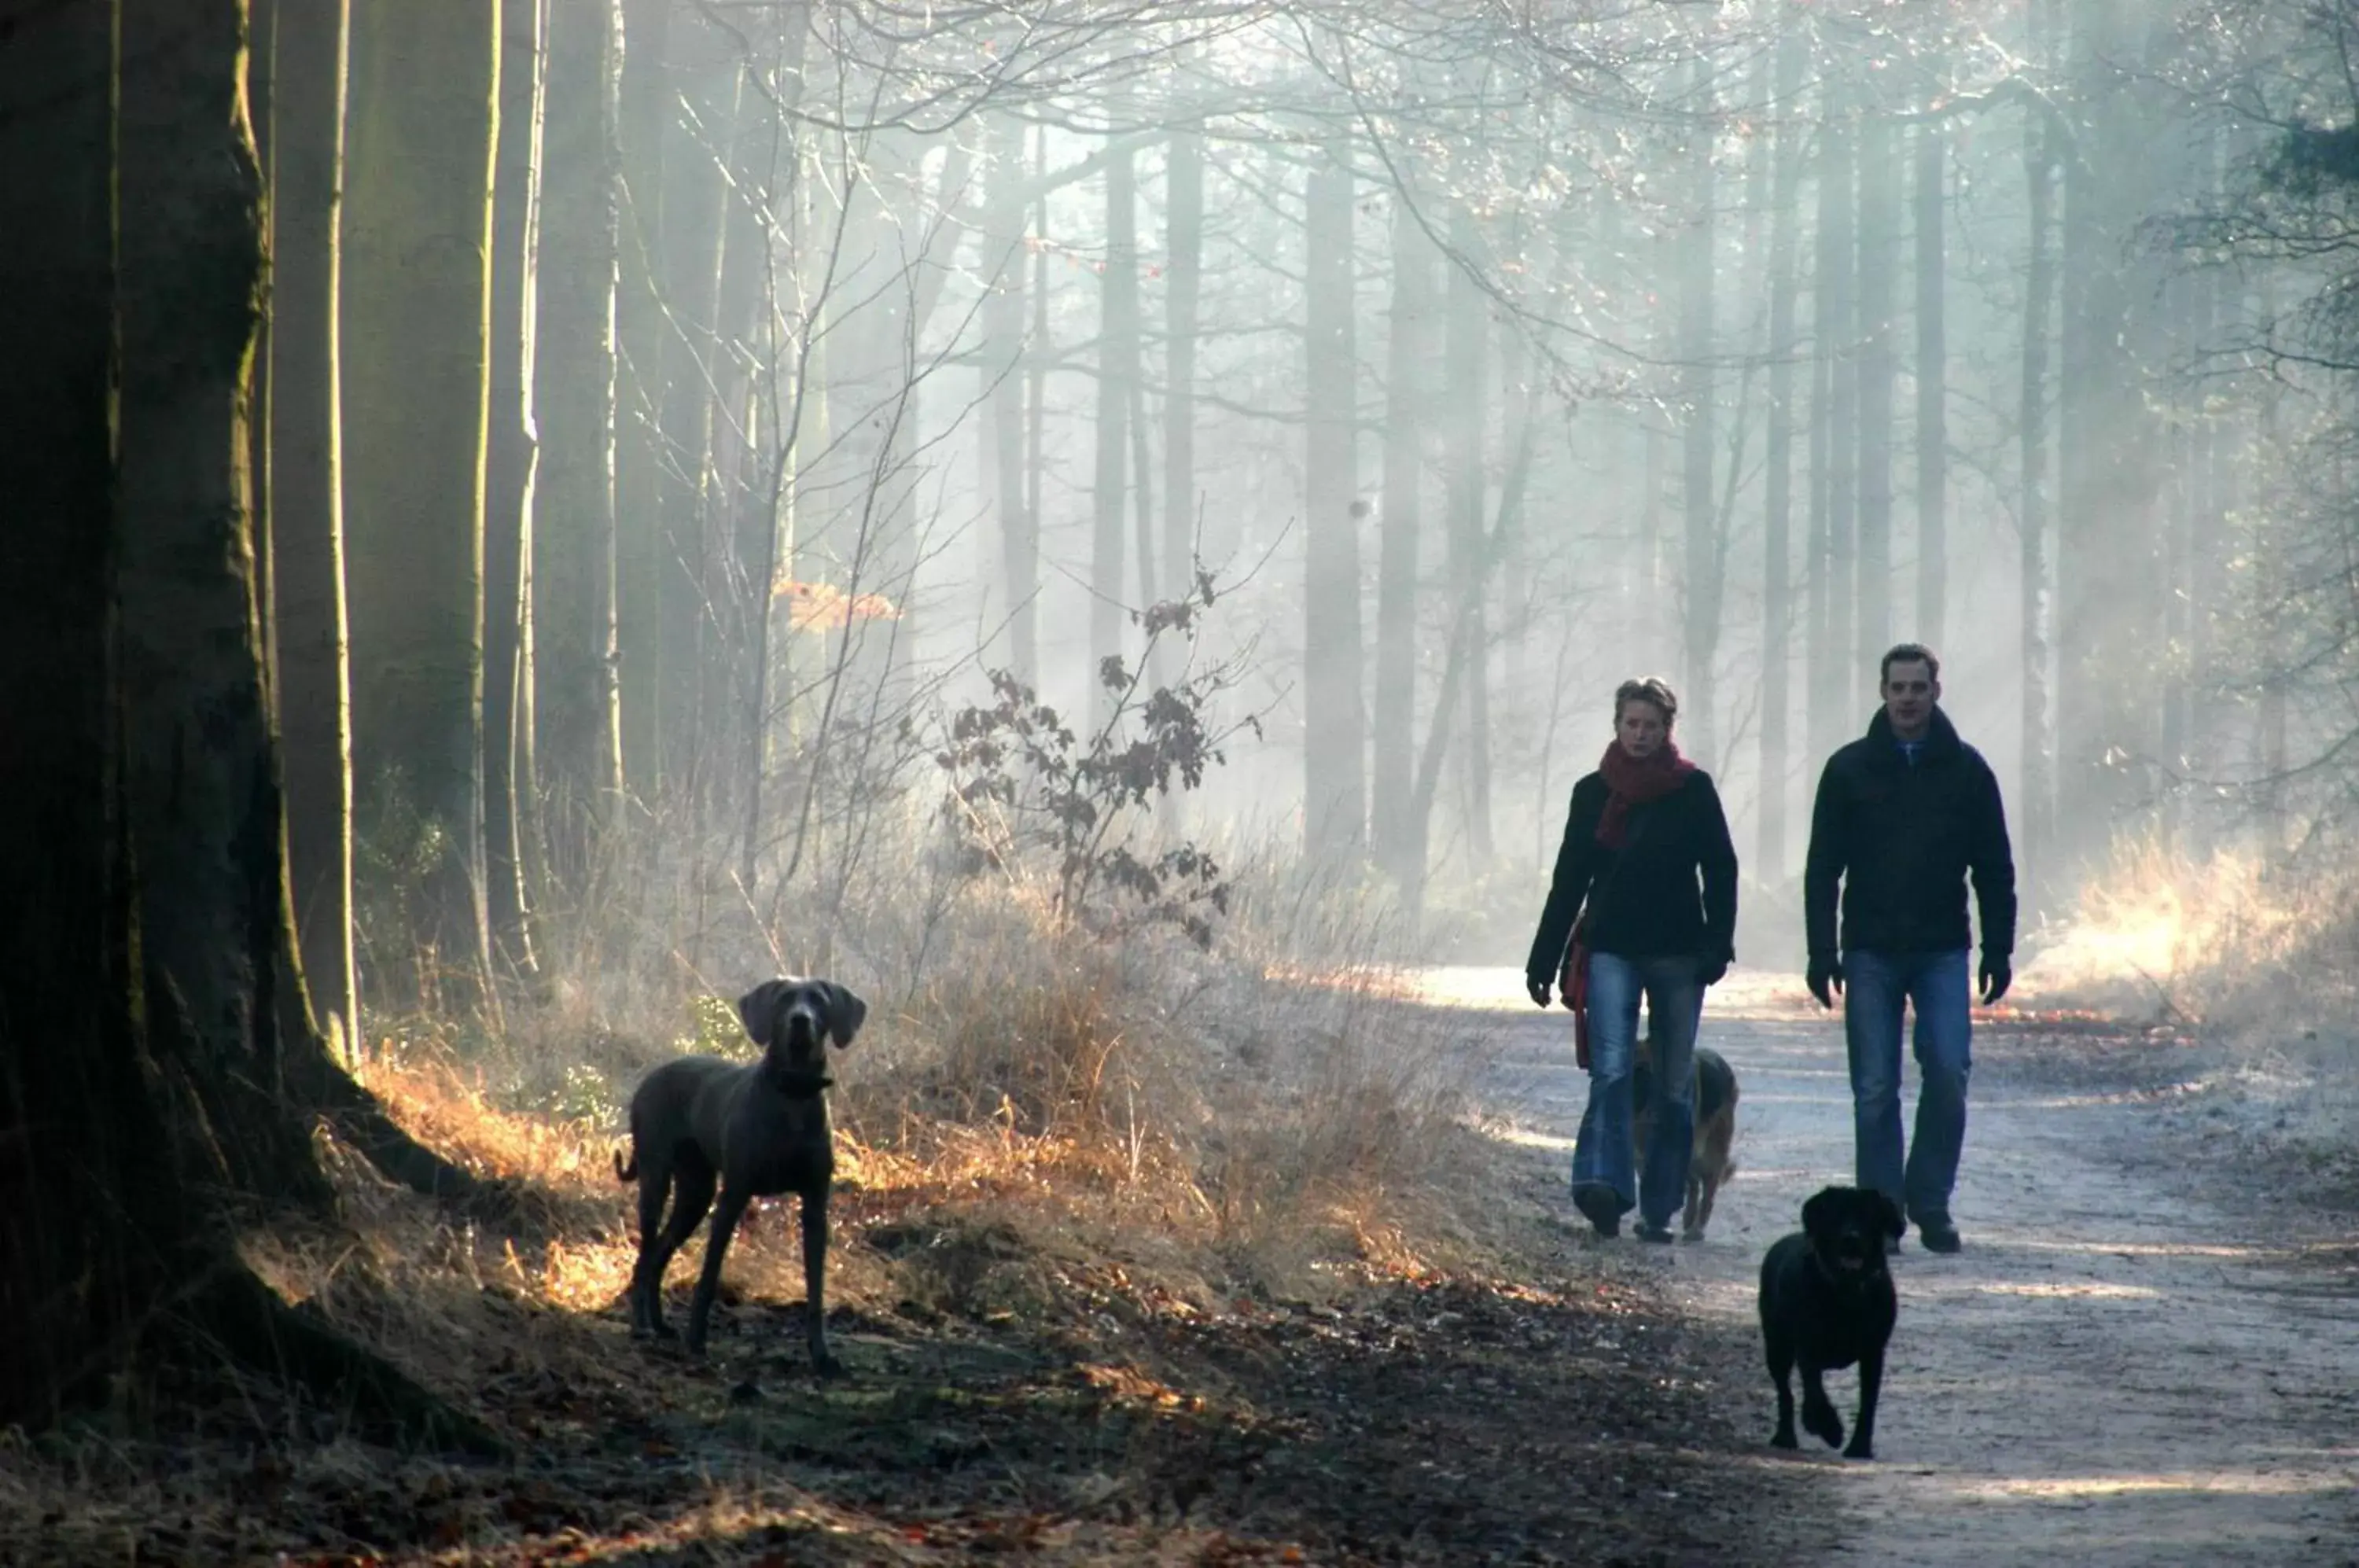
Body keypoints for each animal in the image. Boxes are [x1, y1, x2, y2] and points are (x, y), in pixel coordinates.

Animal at [609, 981, 868, 1367]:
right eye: (784, 1000)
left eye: (819, 1001)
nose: (801, 1021)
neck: (792, 1095)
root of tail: (651, 1076)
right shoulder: (733, 1196)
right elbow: (708, 1275)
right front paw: (697, 1340)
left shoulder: (816, 1206)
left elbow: (816, 1290)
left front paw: (821, 1355)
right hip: (656, 1181)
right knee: (645, 1258)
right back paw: (641, 1326)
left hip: (696, 1194)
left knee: (658, 1257)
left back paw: (660, 1323)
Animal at [1632, 1032, 1746, 1245]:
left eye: (1643, 1070)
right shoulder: (1640, 1156)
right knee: (1694, 1183)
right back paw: (1689, 1219)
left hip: (1710, 1153)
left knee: (1707, 1191)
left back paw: (1697, 1228)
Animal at [1765, 1188, 1906, 1452]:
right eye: (1836, 1214)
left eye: (1868, 1215)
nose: (1851, 1238)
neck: (1846, 1292)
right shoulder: (1808, 1346)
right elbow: (1815, 1391)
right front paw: (1829, 1427)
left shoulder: (1873, 1351)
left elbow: (1868, 1400)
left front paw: (1859, 1446)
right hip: (1777, 1346)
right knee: (1785, 1391)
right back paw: (1786, 1435)